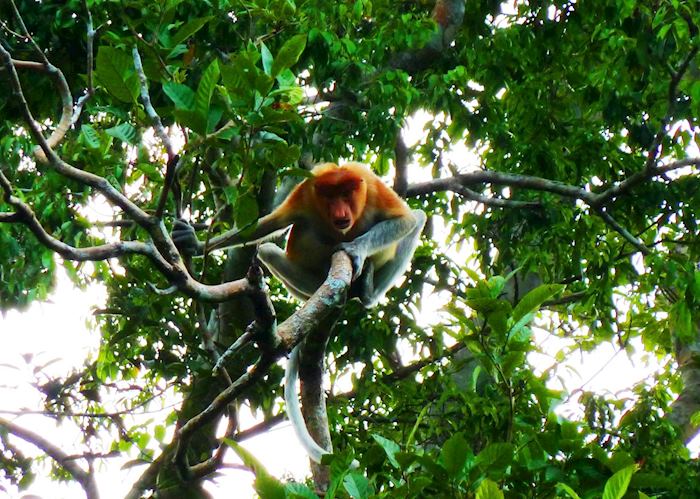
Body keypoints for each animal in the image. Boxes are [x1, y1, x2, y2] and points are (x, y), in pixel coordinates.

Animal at [173, 162, 426, 463]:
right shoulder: (304, 195)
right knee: (268, 250)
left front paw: (355, 249)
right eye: (329, 197)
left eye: (346, 194)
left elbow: (406, 219)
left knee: (418, 217)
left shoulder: (373, 188)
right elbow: (264, 227)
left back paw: (366, 292)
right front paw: (191, 241)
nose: (340, 213)